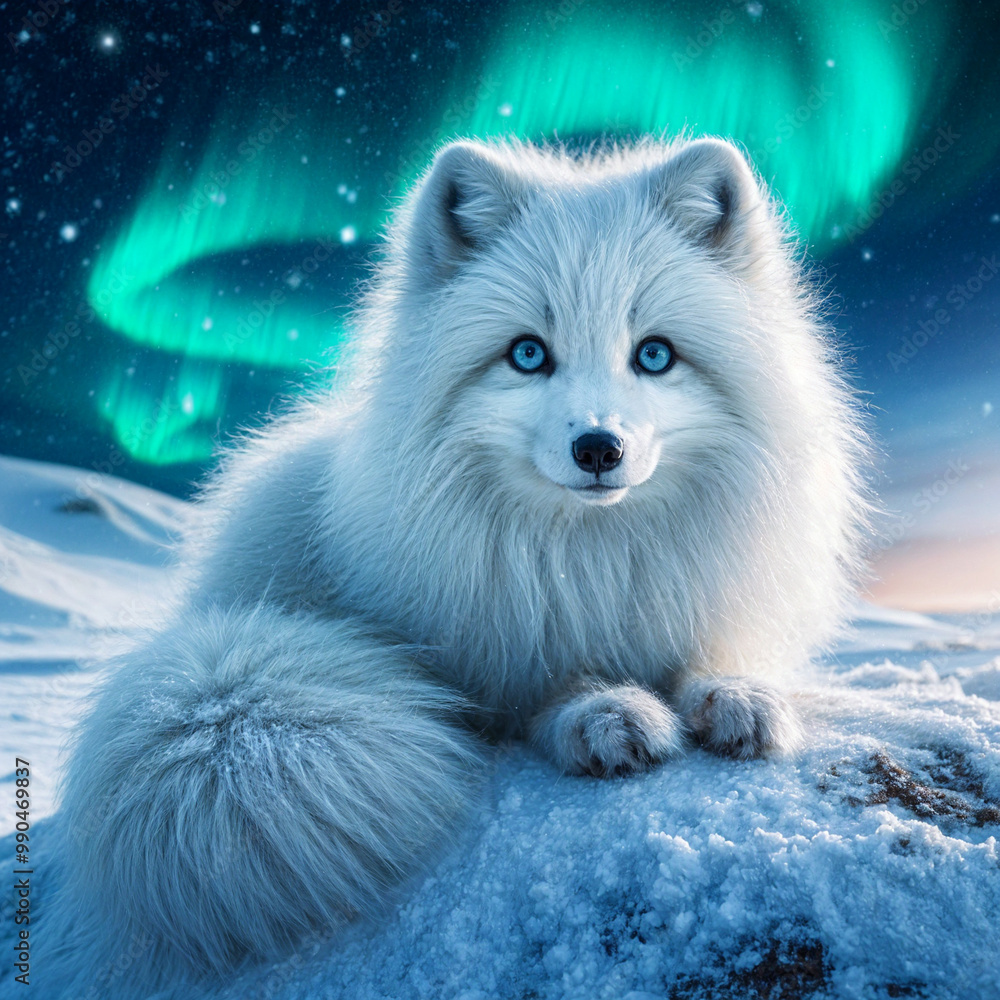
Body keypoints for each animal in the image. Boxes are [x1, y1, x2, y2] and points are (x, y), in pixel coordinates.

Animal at [52, 135, 867, 992]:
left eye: (654, 355)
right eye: (527, 354)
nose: (598, 448)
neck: (592, 554)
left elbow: (707, 656)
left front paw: (732, 692)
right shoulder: (485, 666)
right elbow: (539, 686)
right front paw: (600, 708)